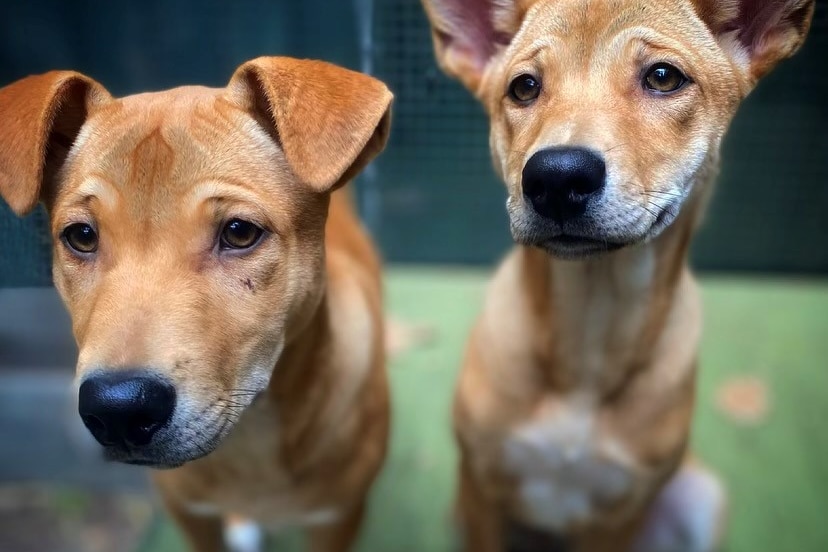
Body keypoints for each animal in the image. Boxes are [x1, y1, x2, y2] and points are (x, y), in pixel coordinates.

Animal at [0, 57, 392, 552]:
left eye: (240, 232)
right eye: (81, 236)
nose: (118, 410)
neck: (253, 437)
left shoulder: (337, 518)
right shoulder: (188, 513)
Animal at [424, 1, 812, 552]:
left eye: (663, 77)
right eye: (524, 87)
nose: (556, 178)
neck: (592, 321)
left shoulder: (617, 516)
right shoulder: (481, 490)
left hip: (702, 498)